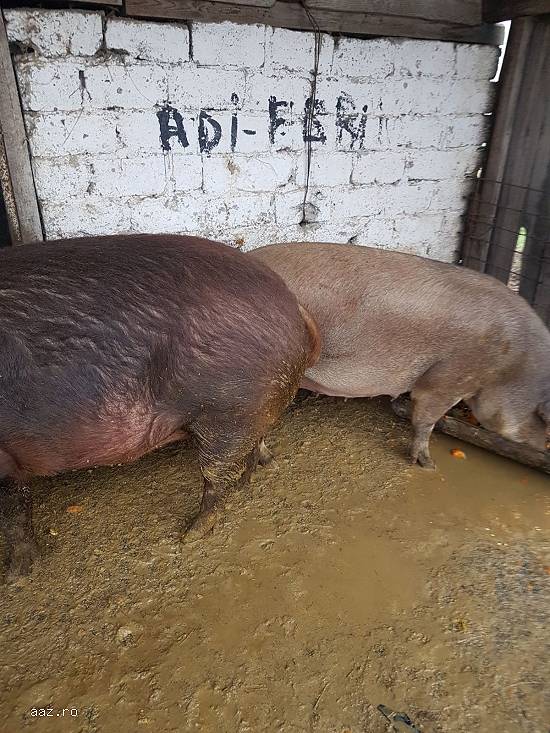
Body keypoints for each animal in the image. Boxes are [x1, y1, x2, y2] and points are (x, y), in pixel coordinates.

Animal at [0, 234, 322, 576]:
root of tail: (292, 304)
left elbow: (14, 509)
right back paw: (261, 468)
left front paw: (17, 575)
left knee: (219, 474)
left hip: (229, 409)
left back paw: (189, 536)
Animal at [251, 242, 550, 468]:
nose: (543, 448)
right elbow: (426, 419)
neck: (510, 366)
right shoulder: (449, 377)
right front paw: (428, 465)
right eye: (543, 421)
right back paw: (271, 461)